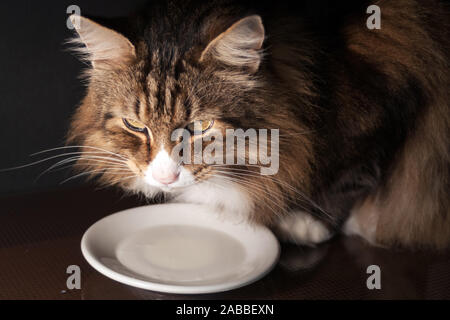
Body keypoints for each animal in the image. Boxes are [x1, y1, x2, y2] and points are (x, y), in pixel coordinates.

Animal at [67, 0, 450, 250]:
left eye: (200, 126)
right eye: (134, 124)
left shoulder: (385, 108)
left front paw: (306, 225)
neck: (316, 85)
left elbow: (350, 179)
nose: (165, 178)